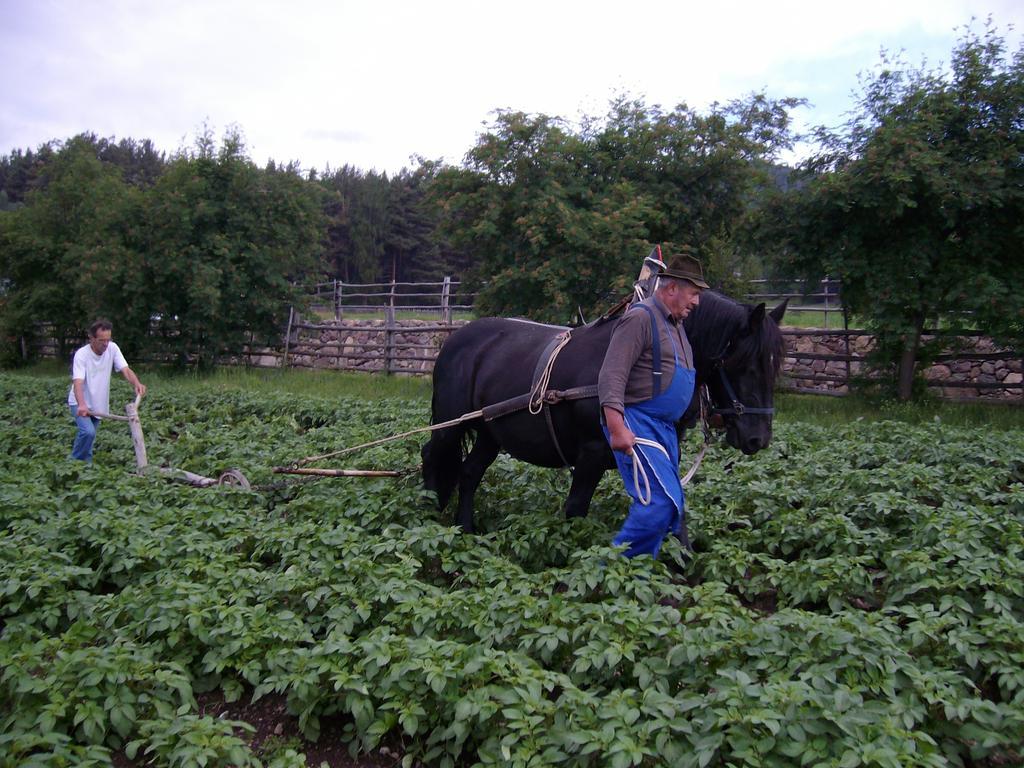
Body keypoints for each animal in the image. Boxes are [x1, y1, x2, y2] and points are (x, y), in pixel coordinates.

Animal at [419, 290, 786, 532]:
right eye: (742, 363)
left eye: (774, 365)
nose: (758, 438)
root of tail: (455, 340)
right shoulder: (591, 454)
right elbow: (575, 509)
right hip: (450, 424)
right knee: (432, 455)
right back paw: (427, 515)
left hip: (490, 433)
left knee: (469, 473)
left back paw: (466, 529)